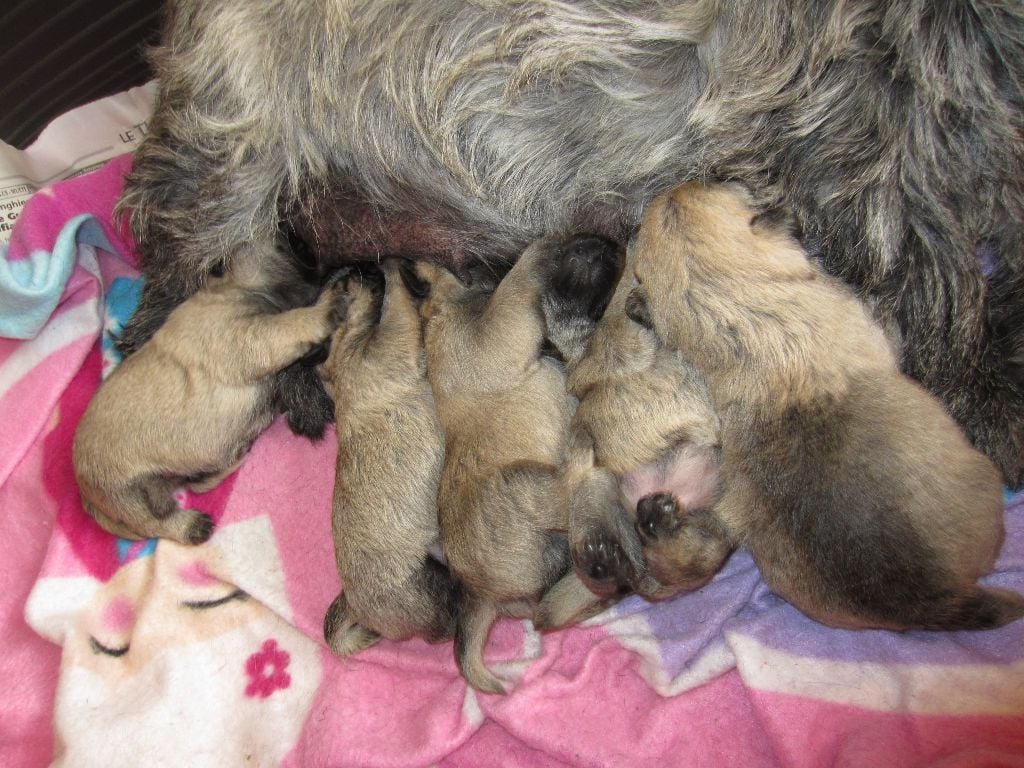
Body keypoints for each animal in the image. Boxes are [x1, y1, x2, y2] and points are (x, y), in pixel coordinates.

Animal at [74, 243, 344, 544]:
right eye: (288, 241)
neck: (229, 287)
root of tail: (87, 496)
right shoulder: (247, 334)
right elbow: (290, 324)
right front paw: (325, 307)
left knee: (198, 484)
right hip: (130, 494)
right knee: (156, 521)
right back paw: (192, 526)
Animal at [321, 264, 462, 655]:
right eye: (344, 281)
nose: (361, 266)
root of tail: (355, 606)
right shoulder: (383, 344)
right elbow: (398, 307)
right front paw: (396, 269)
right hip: (424, 586)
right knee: (439, 623)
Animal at [417, 237, 622, 696]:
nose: (608, 242)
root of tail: (478, 595)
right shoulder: (492, 332)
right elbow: (519, 280)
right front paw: (547, 247)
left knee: (546, 607)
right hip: (518, 481)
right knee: (563, 491)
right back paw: (581, 457)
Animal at [630, 183, 1024, 634]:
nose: (686, 183)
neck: (742, 322)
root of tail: (927, 604)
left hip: (726, 517)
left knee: (690, 557)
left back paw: (655, 519)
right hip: (983, 479)